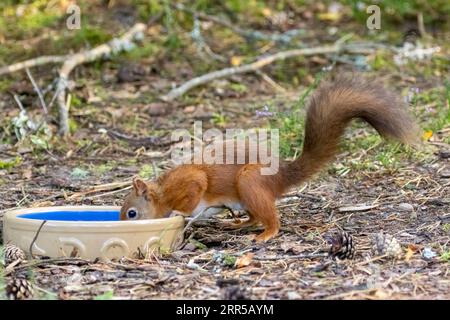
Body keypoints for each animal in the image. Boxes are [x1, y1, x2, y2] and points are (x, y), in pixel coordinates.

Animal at [118, 77, 418, 242]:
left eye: (132, 213)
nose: (124, 224)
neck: (163, 193)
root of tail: (281, 176)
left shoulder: (190, 181)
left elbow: (195, 192)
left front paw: (179, 214)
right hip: (242, 197)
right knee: (253, 217)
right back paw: (237, 223)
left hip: (250, 182)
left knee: (271, 219)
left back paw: (266, 234)